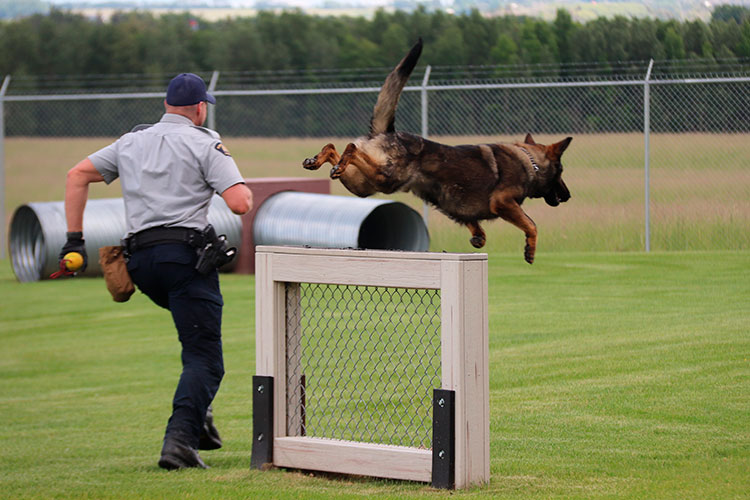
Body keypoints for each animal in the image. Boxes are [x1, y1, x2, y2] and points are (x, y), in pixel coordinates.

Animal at [302, 38, 572, 264]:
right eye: (561, 171)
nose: (568, 196)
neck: (529, 162)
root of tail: (386, 133)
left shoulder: (465, 210)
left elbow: (477, 227)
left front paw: (478, 238)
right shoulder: (504, 202)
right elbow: (532, 224)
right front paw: (530, 250)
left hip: (363, 186)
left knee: (334, 148)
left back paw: (317, 161)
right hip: (385, 179)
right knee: (351, 148)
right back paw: (339, 158)